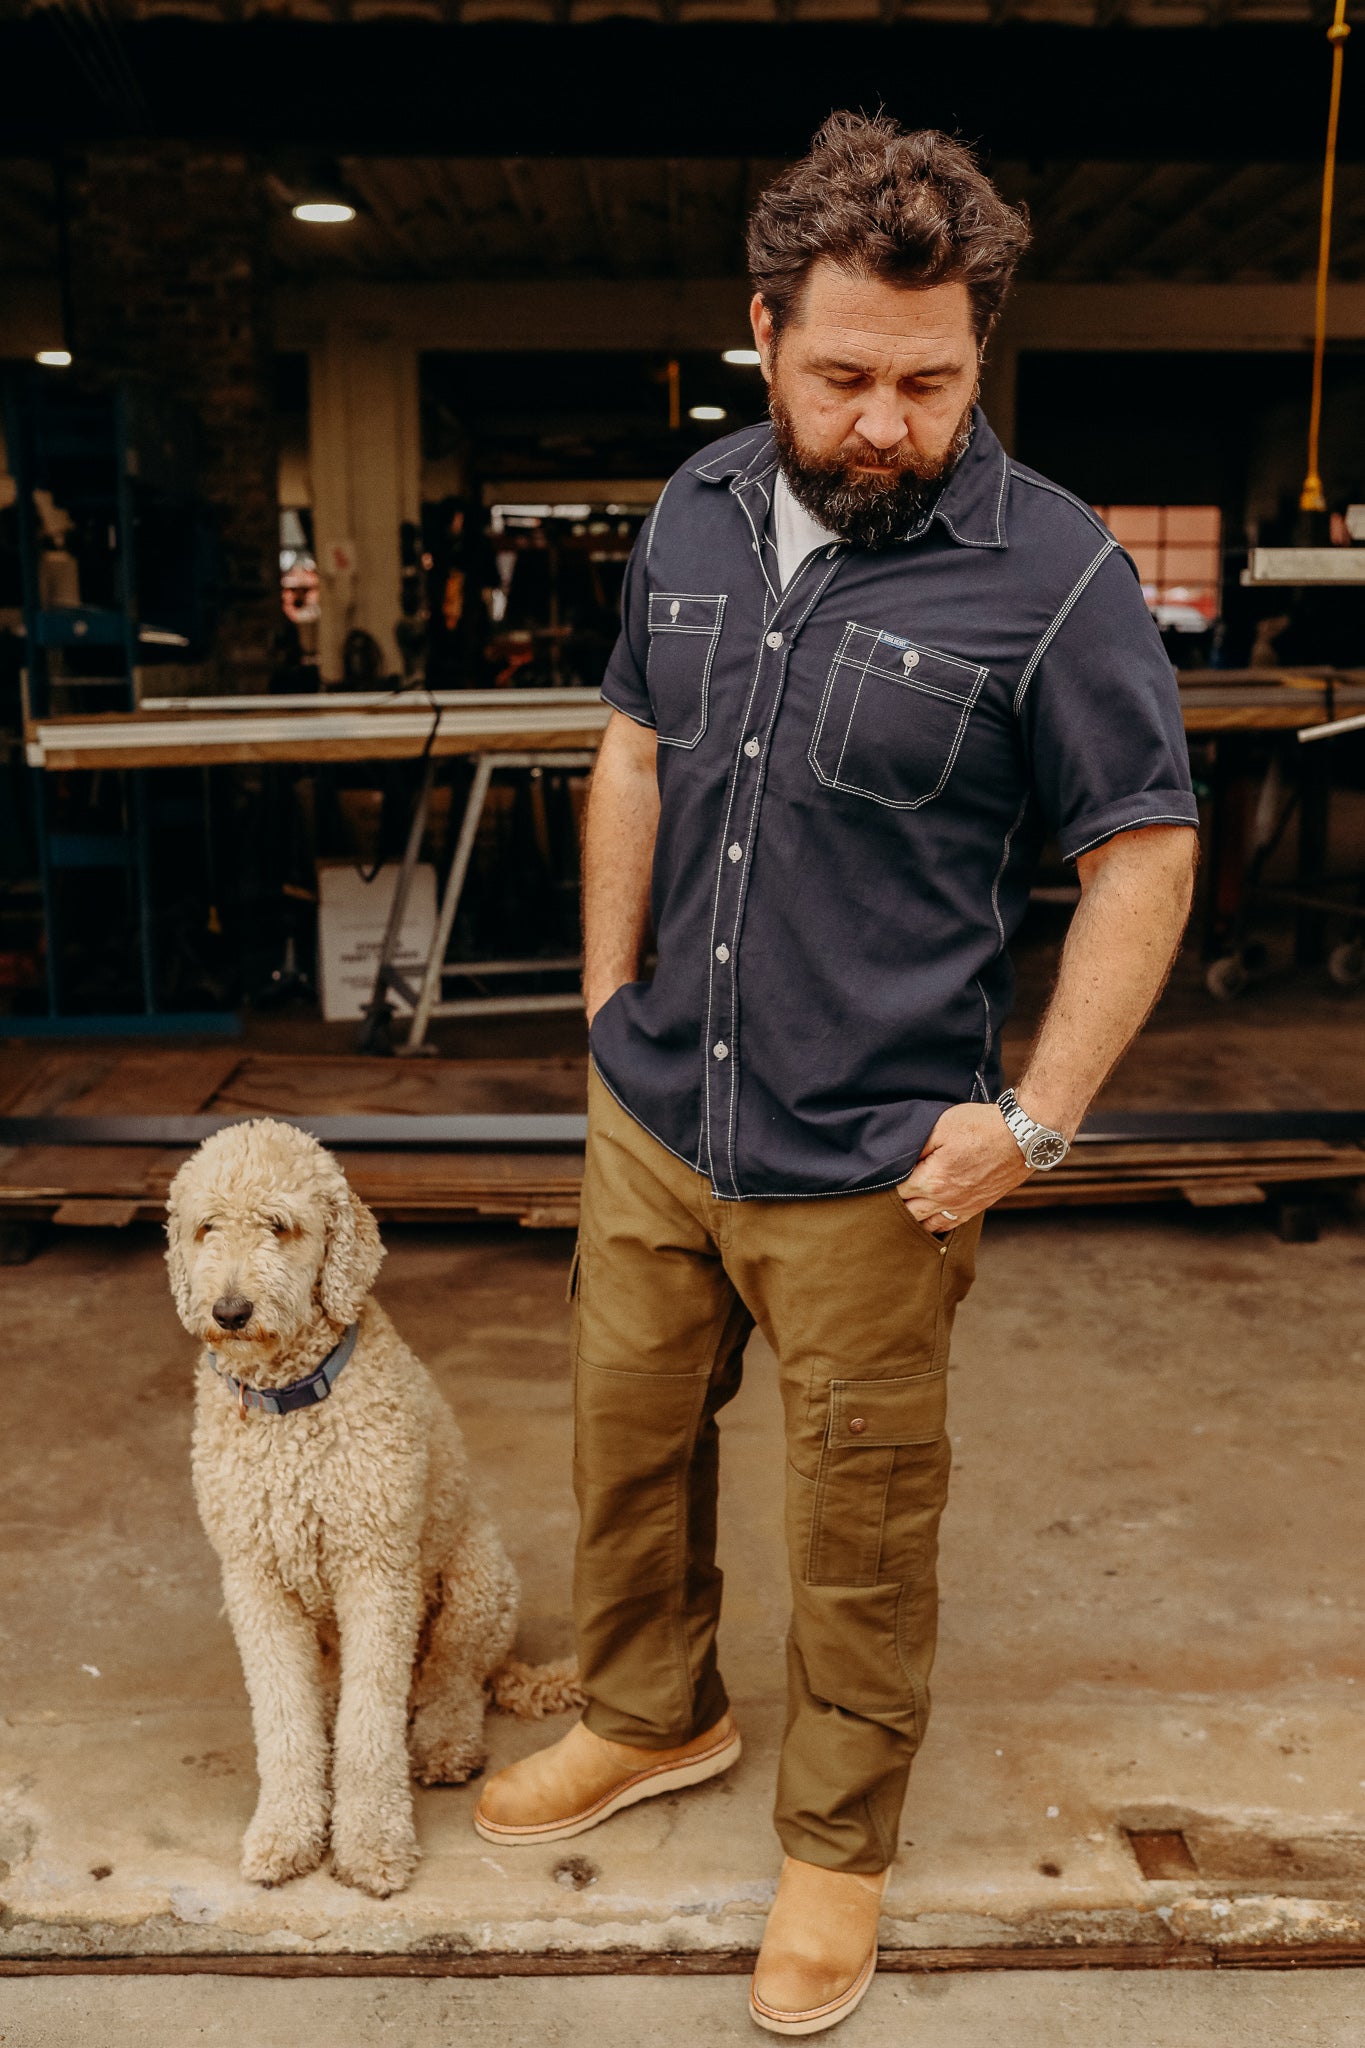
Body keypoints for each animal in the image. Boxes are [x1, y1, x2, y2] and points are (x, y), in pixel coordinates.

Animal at [166, 1122, 581, 1900]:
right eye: (206, 1227)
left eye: (280, 1225)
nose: (230, 1312)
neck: (289, 1404)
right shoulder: (255, 1582)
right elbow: (284, 1722)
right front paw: (287, 1832)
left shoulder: (377, 1574)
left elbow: (370, 1731)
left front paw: (371, 1844)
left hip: (477, 1582)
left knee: (452, 1682)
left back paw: (445, 1743)